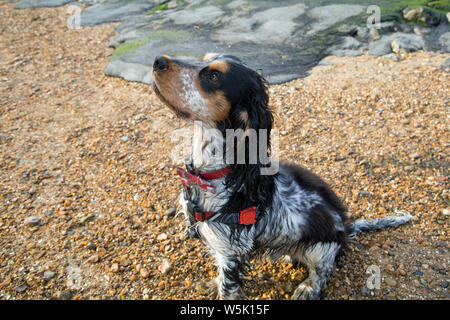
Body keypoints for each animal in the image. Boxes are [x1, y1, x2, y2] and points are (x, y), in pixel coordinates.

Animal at [151, 53, 412, 300]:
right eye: (204, 59)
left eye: (214, 77)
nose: (157, 61)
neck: (214, 173)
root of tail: (345, 228)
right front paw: (212, 284)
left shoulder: (231, 251)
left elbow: (228, 287)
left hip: (320, 246)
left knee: (324, 268)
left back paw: (308, 287)